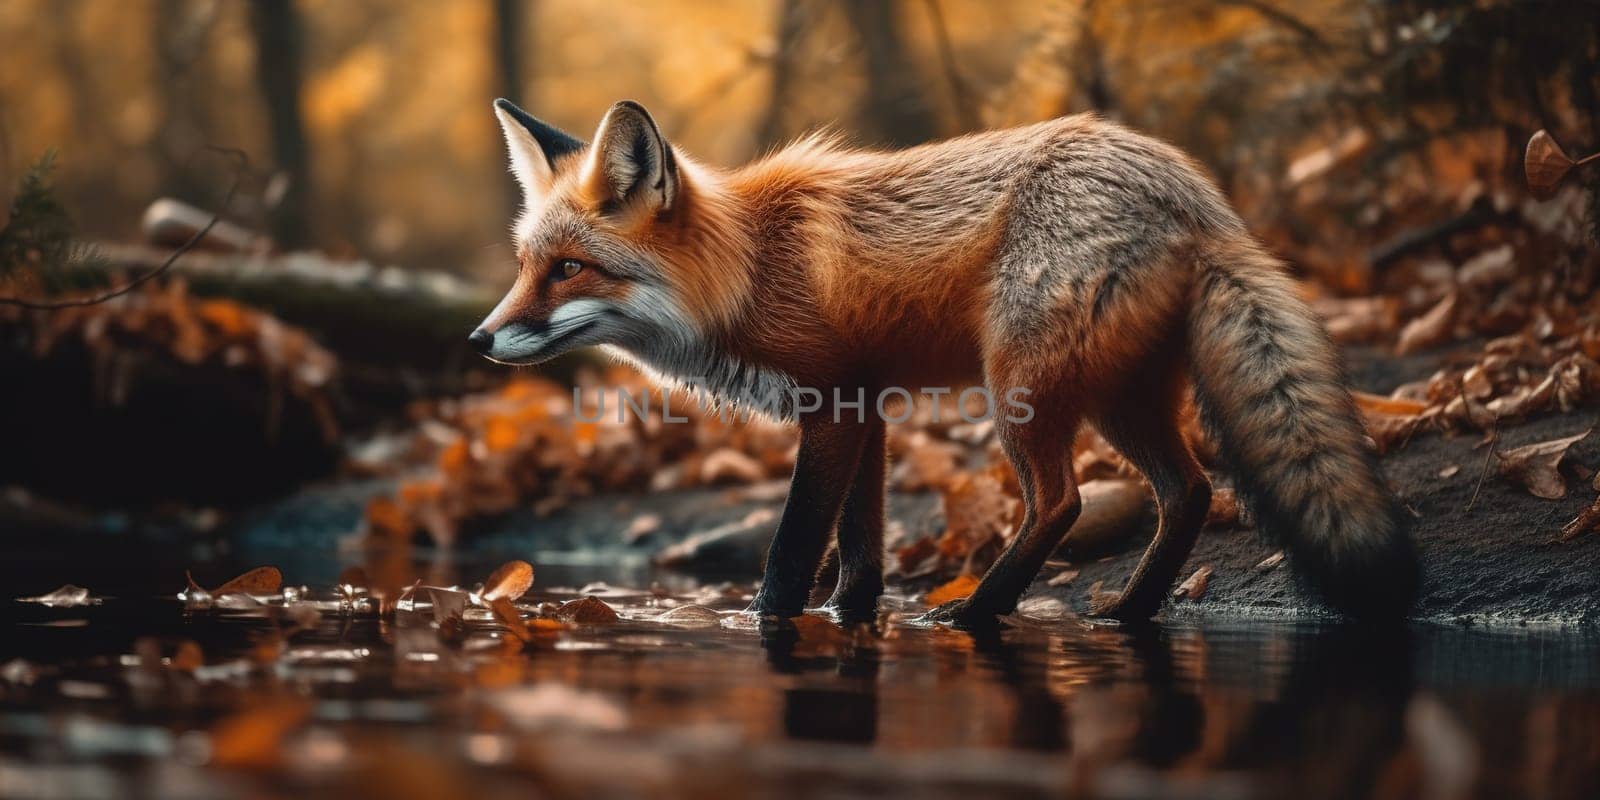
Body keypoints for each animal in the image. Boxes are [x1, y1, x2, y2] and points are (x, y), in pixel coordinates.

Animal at [467, 98, 1420, 624]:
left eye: (569, 269)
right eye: (523, 264)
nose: (478, 339)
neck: (749, 266)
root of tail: (1194, 190)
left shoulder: (833, 405)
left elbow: (792, 553)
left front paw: (772, 630)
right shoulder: (868, 409)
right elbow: (860, 557)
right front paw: (851, 624)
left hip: (1022, 387)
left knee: (1062, 501)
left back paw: (977, 613)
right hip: (1120, 396)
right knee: (1187, 493)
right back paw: (1127, 614)